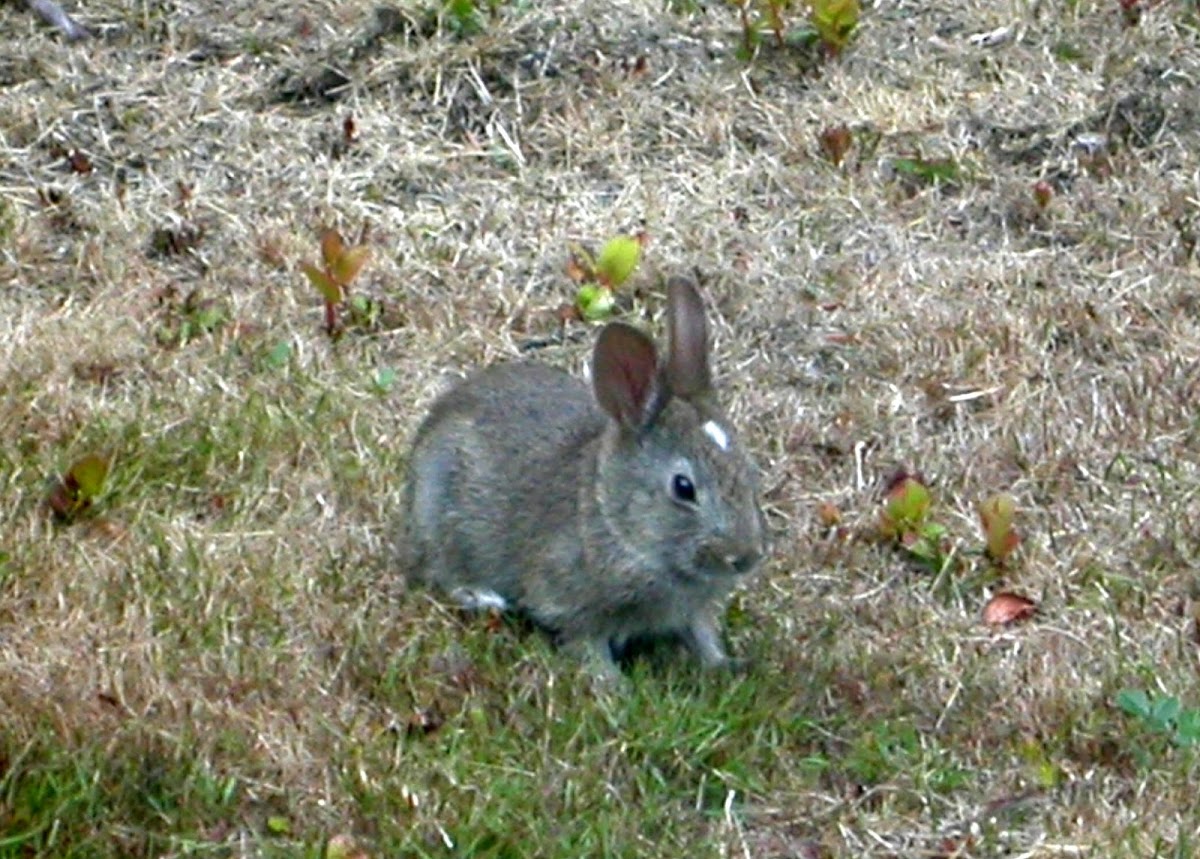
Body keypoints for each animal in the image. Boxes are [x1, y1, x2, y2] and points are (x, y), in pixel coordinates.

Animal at [398, 274, 763, 676]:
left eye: (750, 471)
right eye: (683, 488)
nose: (745, 557)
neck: (615, 521)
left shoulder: (693, 609)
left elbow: (701, 633)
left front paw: (726, 665)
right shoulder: (570, 602)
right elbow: (587, 643)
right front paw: (613, 685)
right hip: (438, 512)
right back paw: (482, 596)